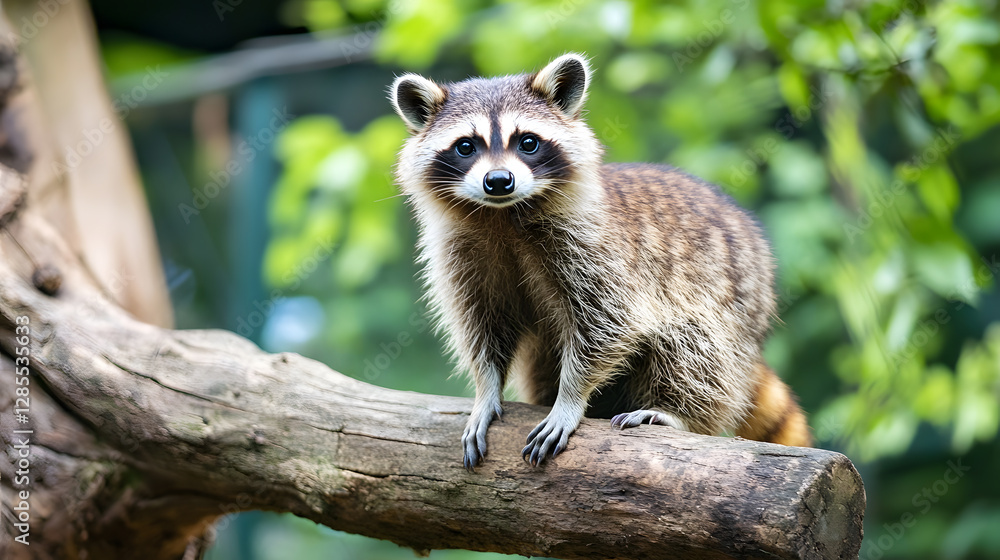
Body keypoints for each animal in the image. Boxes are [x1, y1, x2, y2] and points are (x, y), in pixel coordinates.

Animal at [389, 53, 811, 469]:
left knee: (694, 343)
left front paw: (570, 399)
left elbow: (609, 325)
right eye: (466, 146)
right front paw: (486, 390)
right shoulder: (461, 255)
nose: (498, 181)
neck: (503, 215)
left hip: (731, 306)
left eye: (528, 142)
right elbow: (482, 327)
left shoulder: (598, 250)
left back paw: (677, 412)